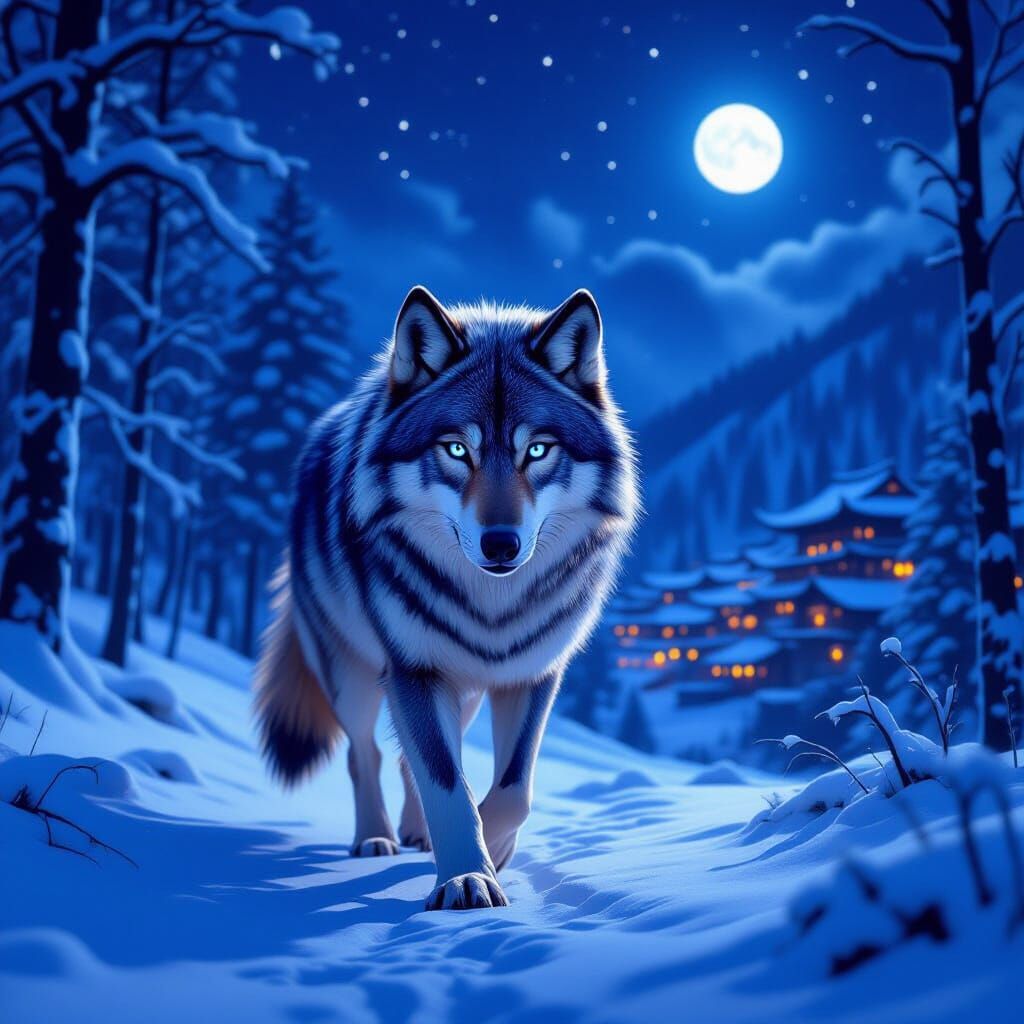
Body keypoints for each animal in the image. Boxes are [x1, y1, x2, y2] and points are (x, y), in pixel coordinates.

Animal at [254, 285, 638, 910]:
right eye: (457, 450)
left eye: (537, 451)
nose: (501, 543)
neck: (493, 606)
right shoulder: (413, 670)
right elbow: (447, 785)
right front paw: (465, 878)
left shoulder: (532, 673)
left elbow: (511, 789)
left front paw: (491, 852)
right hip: (353, 675)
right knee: (367, 753)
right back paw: (377, 838)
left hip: (466, 693)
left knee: (409, 756)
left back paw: (415, 834)